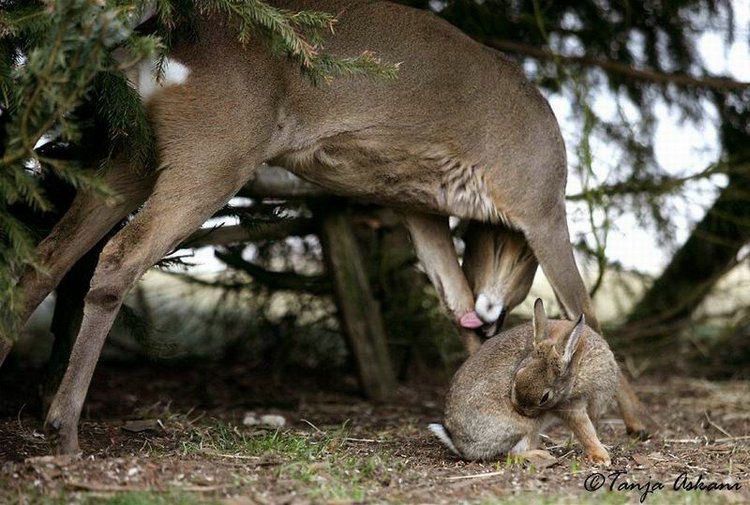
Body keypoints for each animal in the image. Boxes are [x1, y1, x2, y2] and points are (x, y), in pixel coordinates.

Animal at [432, 300, 620, 464]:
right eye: (516, 375)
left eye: (545, 397)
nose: (519, 409)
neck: (575, 364)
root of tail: (459, 444)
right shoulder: (570, 406)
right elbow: (585, 430)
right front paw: (601, 456)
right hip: (527, 427)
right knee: (508, 453)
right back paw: (540, 454)